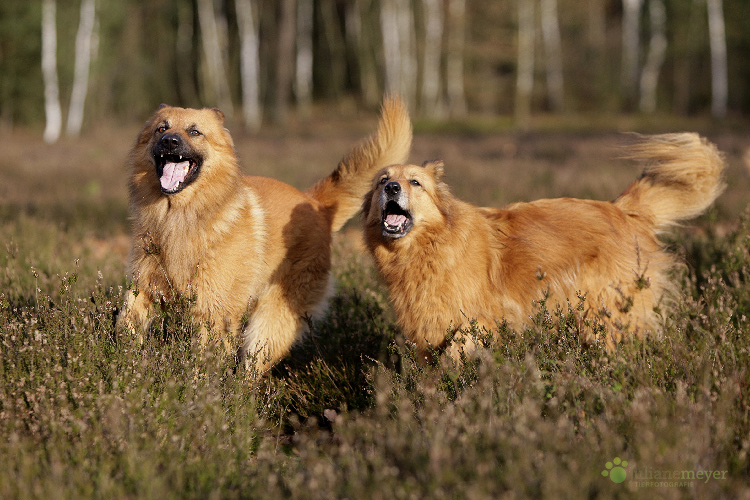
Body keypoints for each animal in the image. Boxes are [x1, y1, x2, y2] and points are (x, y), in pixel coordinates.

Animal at [118, 97, 414, 372]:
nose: (169, 141)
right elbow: (126, 327)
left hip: (268, 325)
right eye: (161, 128)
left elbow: (203, 364)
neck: (181, 216)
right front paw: (123, 365)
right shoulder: (142, 290)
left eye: (194, 131)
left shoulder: (213, 313)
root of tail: (315, 203)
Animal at [364, 135, 728, 358]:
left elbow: (457, 352)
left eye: (415, 182)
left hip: (605, 314)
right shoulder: (427, 334)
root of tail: (622, 210)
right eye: (383, 181)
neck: (430, 248)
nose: (393, 187)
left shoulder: (479, 321)